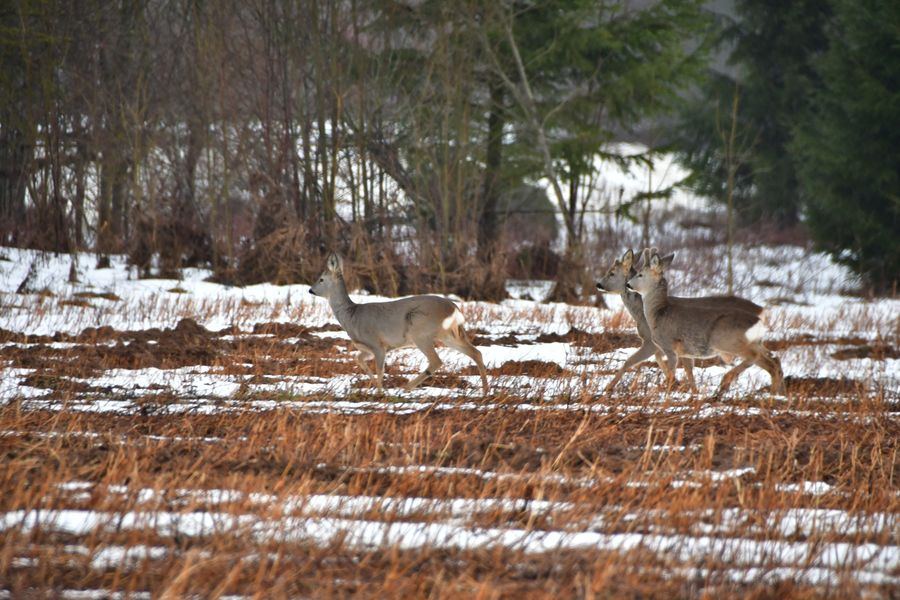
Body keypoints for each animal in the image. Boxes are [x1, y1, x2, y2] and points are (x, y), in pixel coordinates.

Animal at [312, 252, 492, 394]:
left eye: (321, 279)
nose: (310, 290)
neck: (351, 316)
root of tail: (454, 308)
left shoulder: (377, 343)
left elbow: (380, 369)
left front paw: (380, 392)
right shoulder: (368, 348)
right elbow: (358, 359)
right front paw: (376, 387)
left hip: (420, 330)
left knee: (436, 360)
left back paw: (407, 386)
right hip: (449, 334)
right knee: (476, 353)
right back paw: (485, 391)